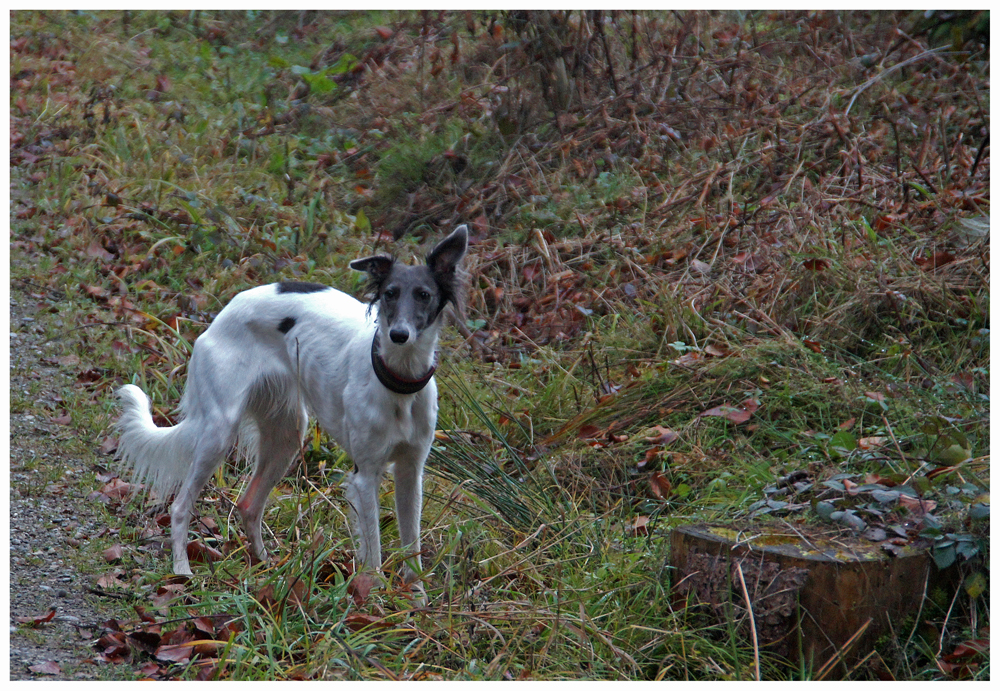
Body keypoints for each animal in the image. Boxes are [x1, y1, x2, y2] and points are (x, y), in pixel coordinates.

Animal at [115, 227, 466, 600]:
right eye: (389, 294)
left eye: (424, 295)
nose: (400, 335)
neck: (399, 383)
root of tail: (222, 315)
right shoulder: (365, 475)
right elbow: (373, 550)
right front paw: (374, 597)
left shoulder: (411, 471)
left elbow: (412, 545)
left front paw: (416, 599)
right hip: (218, 434)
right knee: (180, 507)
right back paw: (182, 571)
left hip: (287, 434)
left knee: (249, 505)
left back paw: (266, 569)